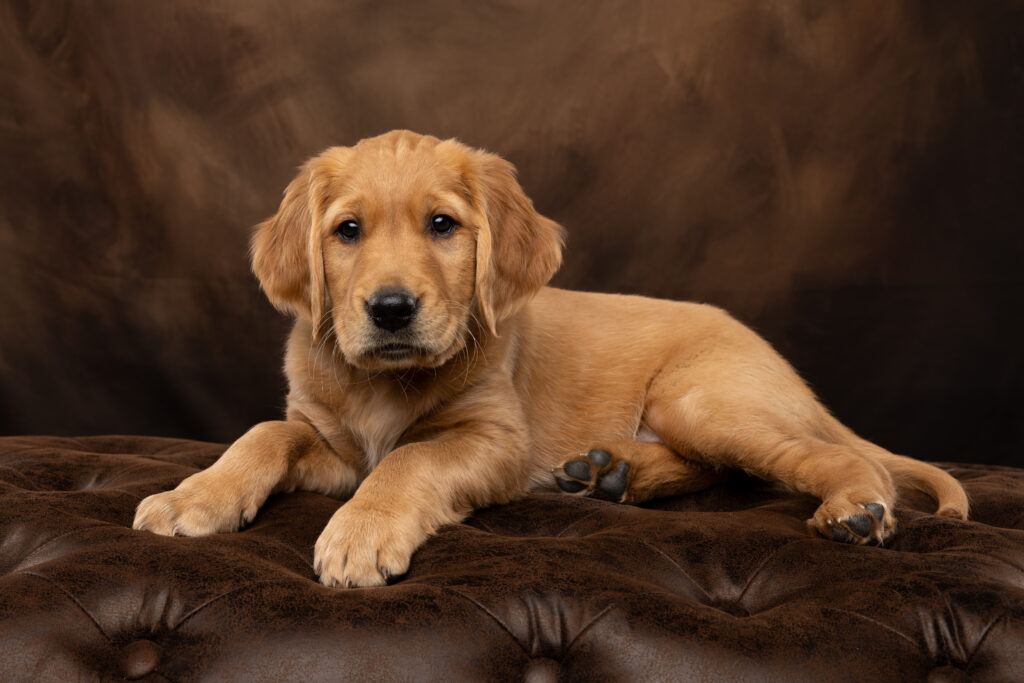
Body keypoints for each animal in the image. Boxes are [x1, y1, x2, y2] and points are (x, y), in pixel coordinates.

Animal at [134, 132, 966, 589]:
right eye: (347, 231)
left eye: (443, 225)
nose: (391, 308)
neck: (385, 384)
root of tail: (773, 354)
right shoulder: (328, 440)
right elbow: (262, 435)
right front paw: (192, 496)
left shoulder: (495, 439)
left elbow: (408, 460)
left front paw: (360, 532)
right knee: (718, 466)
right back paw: (613, 472)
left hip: (702, 398)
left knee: (835, 459)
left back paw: (857, 508)